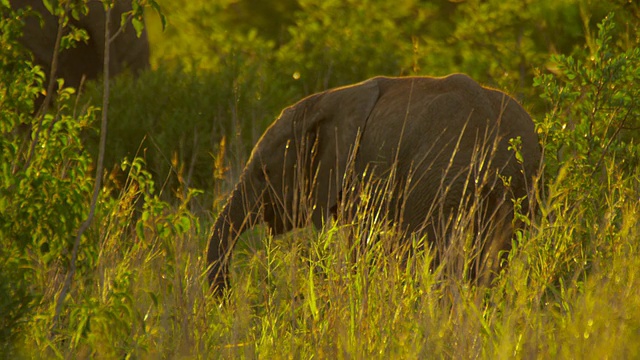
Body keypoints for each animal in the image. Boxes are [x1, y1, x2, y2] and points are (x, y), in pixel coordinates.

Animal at [209, 74, 540, 294]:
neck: (325, 102)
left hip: (440, 179)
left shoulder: (360, 174)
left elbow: (362, 241)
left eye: (264, 172)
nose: (229, 294)